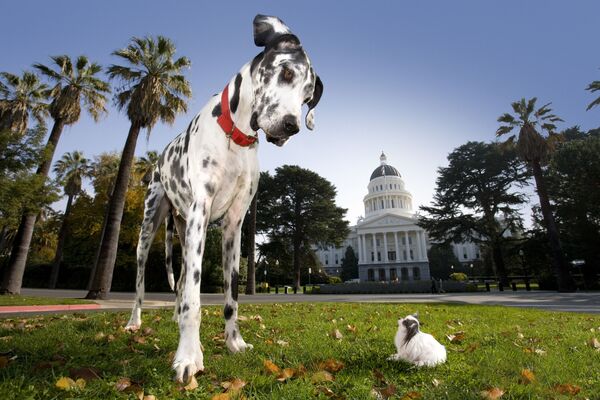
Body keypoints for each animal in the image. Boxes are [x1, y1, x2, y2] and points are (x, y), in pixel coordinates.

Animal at [123, 14, 324, 384]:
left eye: (307, 97)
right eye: (287, 72)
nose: (291, 126)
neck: (236, 137)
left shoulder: (234, 225)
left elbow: (230, 295)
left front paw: (234, 343)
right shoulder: (201, 212)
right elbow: (193, 298)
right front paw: (188, 356)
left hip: (184, 231)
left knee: (182, 277)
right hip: (150, 228)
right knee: (144, 280)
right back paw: (134, 321)